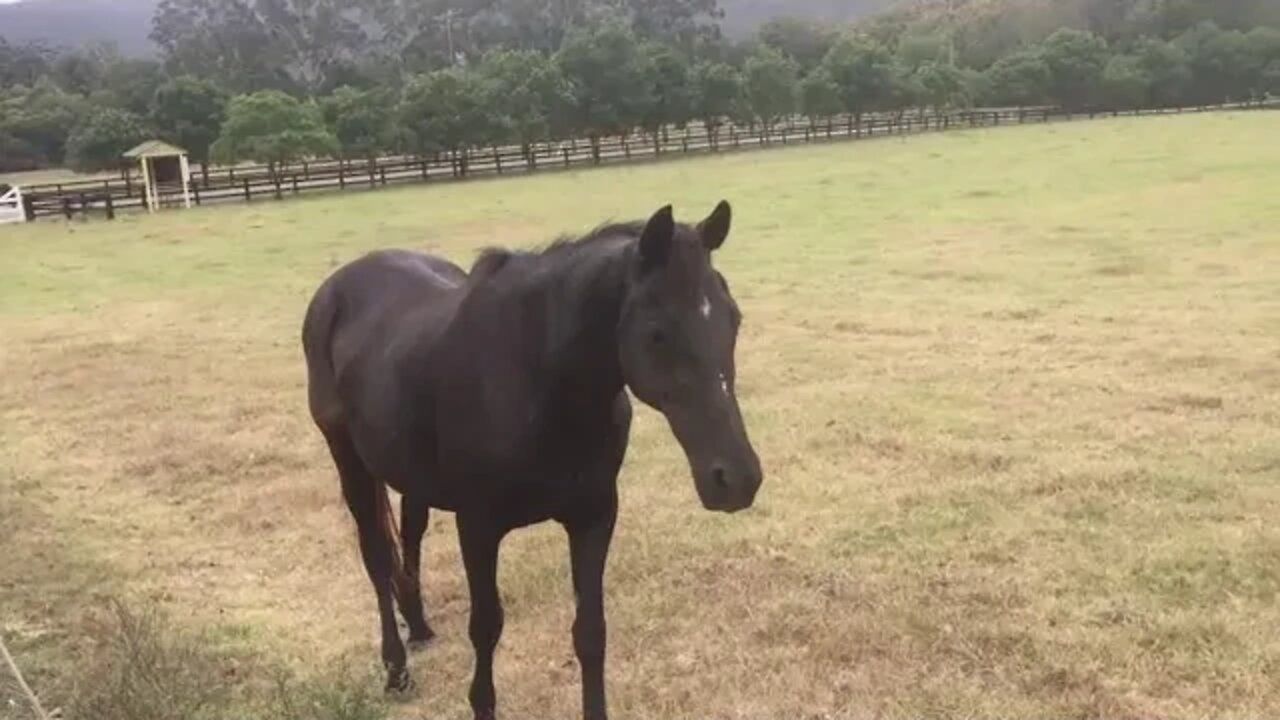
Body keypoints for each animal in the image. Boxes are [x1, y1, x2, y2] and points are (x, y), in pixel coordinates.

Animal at [298, 199, 757, 717]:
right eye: (658, 334)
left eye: (733, 319)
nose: (736, 478)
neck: (536, 377)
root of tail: (338, 287)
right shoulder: (478, 526)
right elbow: (485, 627)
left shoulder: (594, 515)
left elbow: (591, 632)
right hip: (349, 459)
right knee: (376, 556)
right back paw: (396, 671)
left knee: (410, 530)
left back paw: (418, 625)